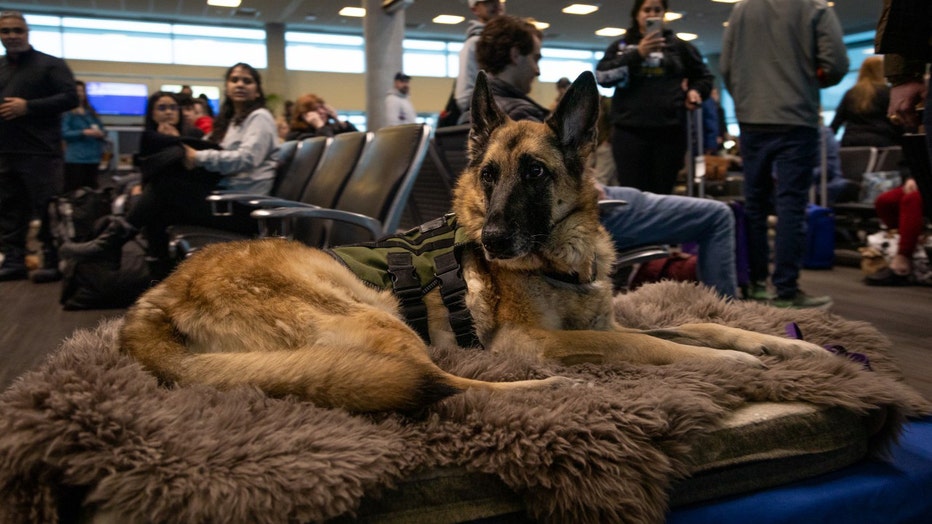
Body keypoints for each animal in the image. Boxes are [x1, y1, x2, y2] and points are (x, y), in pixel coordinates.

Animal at [120, 71, 828, 412]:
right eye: (488, 175)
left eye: (535, 173)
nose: (488, 239)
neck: (562, 258)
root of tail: (152, 304)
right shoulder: (539, 340)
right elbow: (642, 344)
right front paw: (729, 364)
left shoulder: (600, 317)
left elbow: (697, 326)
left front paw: (784, 346)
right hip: (374, 314)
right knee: (435, 381)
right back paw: (553, 391)